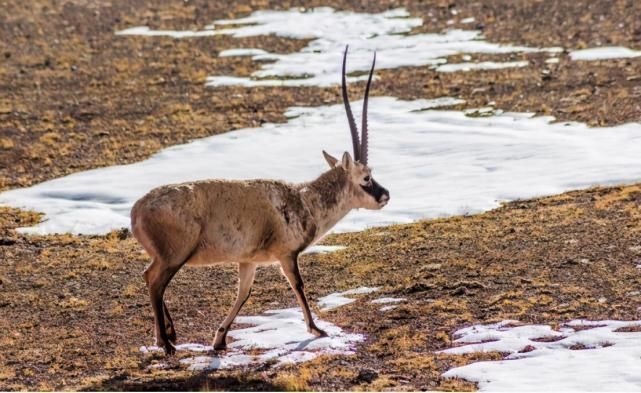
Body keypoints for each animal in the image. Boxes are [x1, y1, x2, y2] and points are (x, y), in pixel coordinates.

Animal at [132, 46, 388, 352]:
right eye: (366, 178)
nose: (385, 195)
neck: (304, 201)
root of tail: (137, 210)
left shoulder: (248, 261)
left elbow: (244, 292)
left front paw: (220, 339)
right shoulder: (286, 255)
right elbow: (298, 285)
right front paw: (316, 329)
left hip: (168, 257)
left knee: (150, 276)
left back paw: (170, 335)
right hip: (175, 256)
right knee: (155, 281)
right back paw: (165, 342)